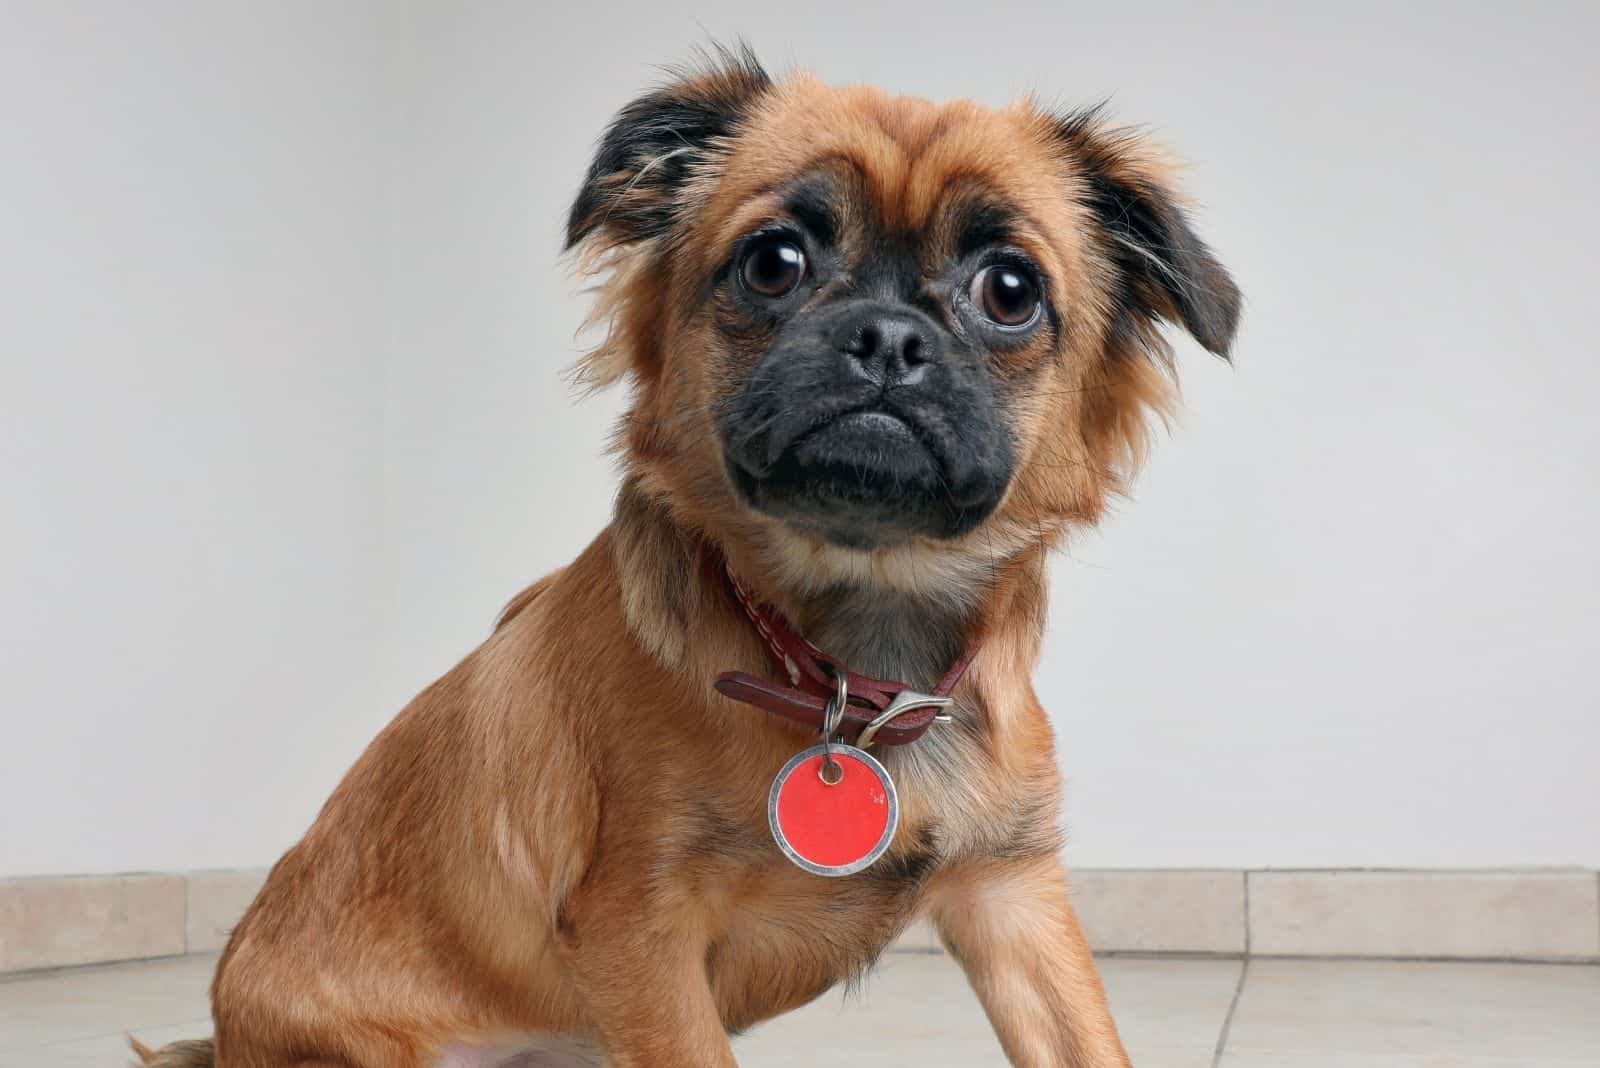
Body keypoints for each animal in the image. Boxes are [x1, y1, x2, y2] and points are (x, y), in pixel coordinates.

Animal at [134, 43, 1235, 1068]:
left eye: (1010, 290)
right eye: (772, 262)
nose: (886, 336)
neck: (853, 661)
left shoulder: (1012, 900)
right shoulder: (644, 938)